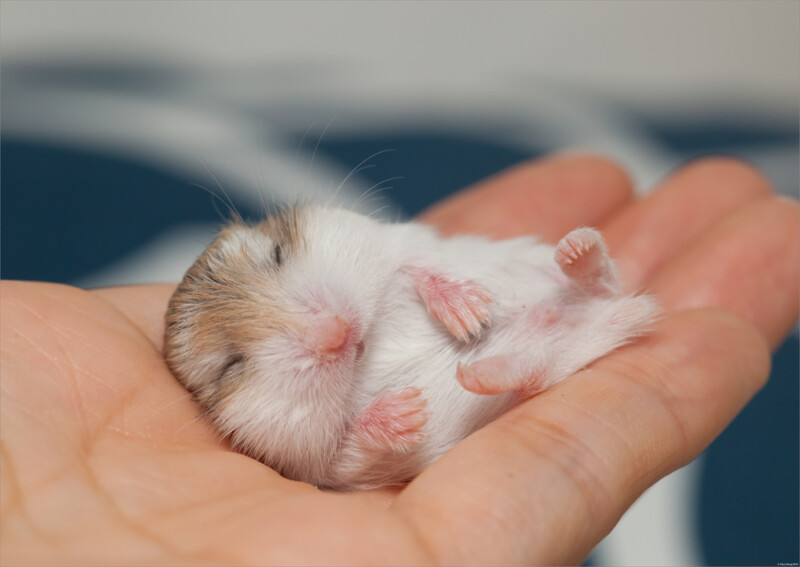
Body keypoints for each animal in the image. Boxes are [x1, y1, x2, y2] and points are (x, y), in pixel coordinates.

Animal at [164, 205, 657, 490]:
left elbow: (419, 265)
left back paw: (577, 250)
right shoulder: (319, 467)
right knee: (532, 371)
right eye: (230, 365)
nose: (337, 331)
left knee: (601, 280)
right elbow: (351, 447)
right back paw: (481, 372)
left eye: (278, 254)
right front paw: (408, 412)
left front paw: (469, 315)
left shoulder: (392, 241)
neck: (369, 345)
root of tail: (592, 315)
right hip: (552, 359)